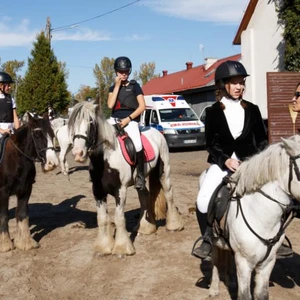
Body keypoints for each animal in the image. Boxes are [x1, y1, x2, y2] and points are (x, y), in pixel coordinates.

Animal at [0, 113, 58, 252]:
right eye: (37, 135)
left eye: (52, 134)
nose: (52, 163)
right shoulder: (3, 192)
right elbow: (4, 216)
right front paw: (5, 244)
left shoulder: (25, 189)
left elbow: (22, 214)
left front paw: (25, 242)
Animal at [67, 102, 184, 256]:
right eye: (72, 124)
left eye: (91, 123)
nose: (78, 154)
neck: (105, 159)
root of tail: (157, 132)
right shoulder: (98, 191)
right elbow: (102, 219)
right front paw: (103, 247)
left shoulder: (120, 190)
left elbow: (119, 218)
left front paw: (122, 248)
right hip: (139, 180)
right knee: (145, 196)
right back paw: (145, 228)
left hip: (164, 172)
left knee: (169, 194)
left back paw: (174, 225)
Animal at [206, 135, 300, 300]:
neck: (261, 217)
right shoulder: (244, 263)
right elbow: (245, 296)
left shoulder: (268, 263)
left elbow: (262, 294)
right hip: (214, 240)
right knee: (215, 259)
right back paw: (214, 289)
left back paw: (230, 281)